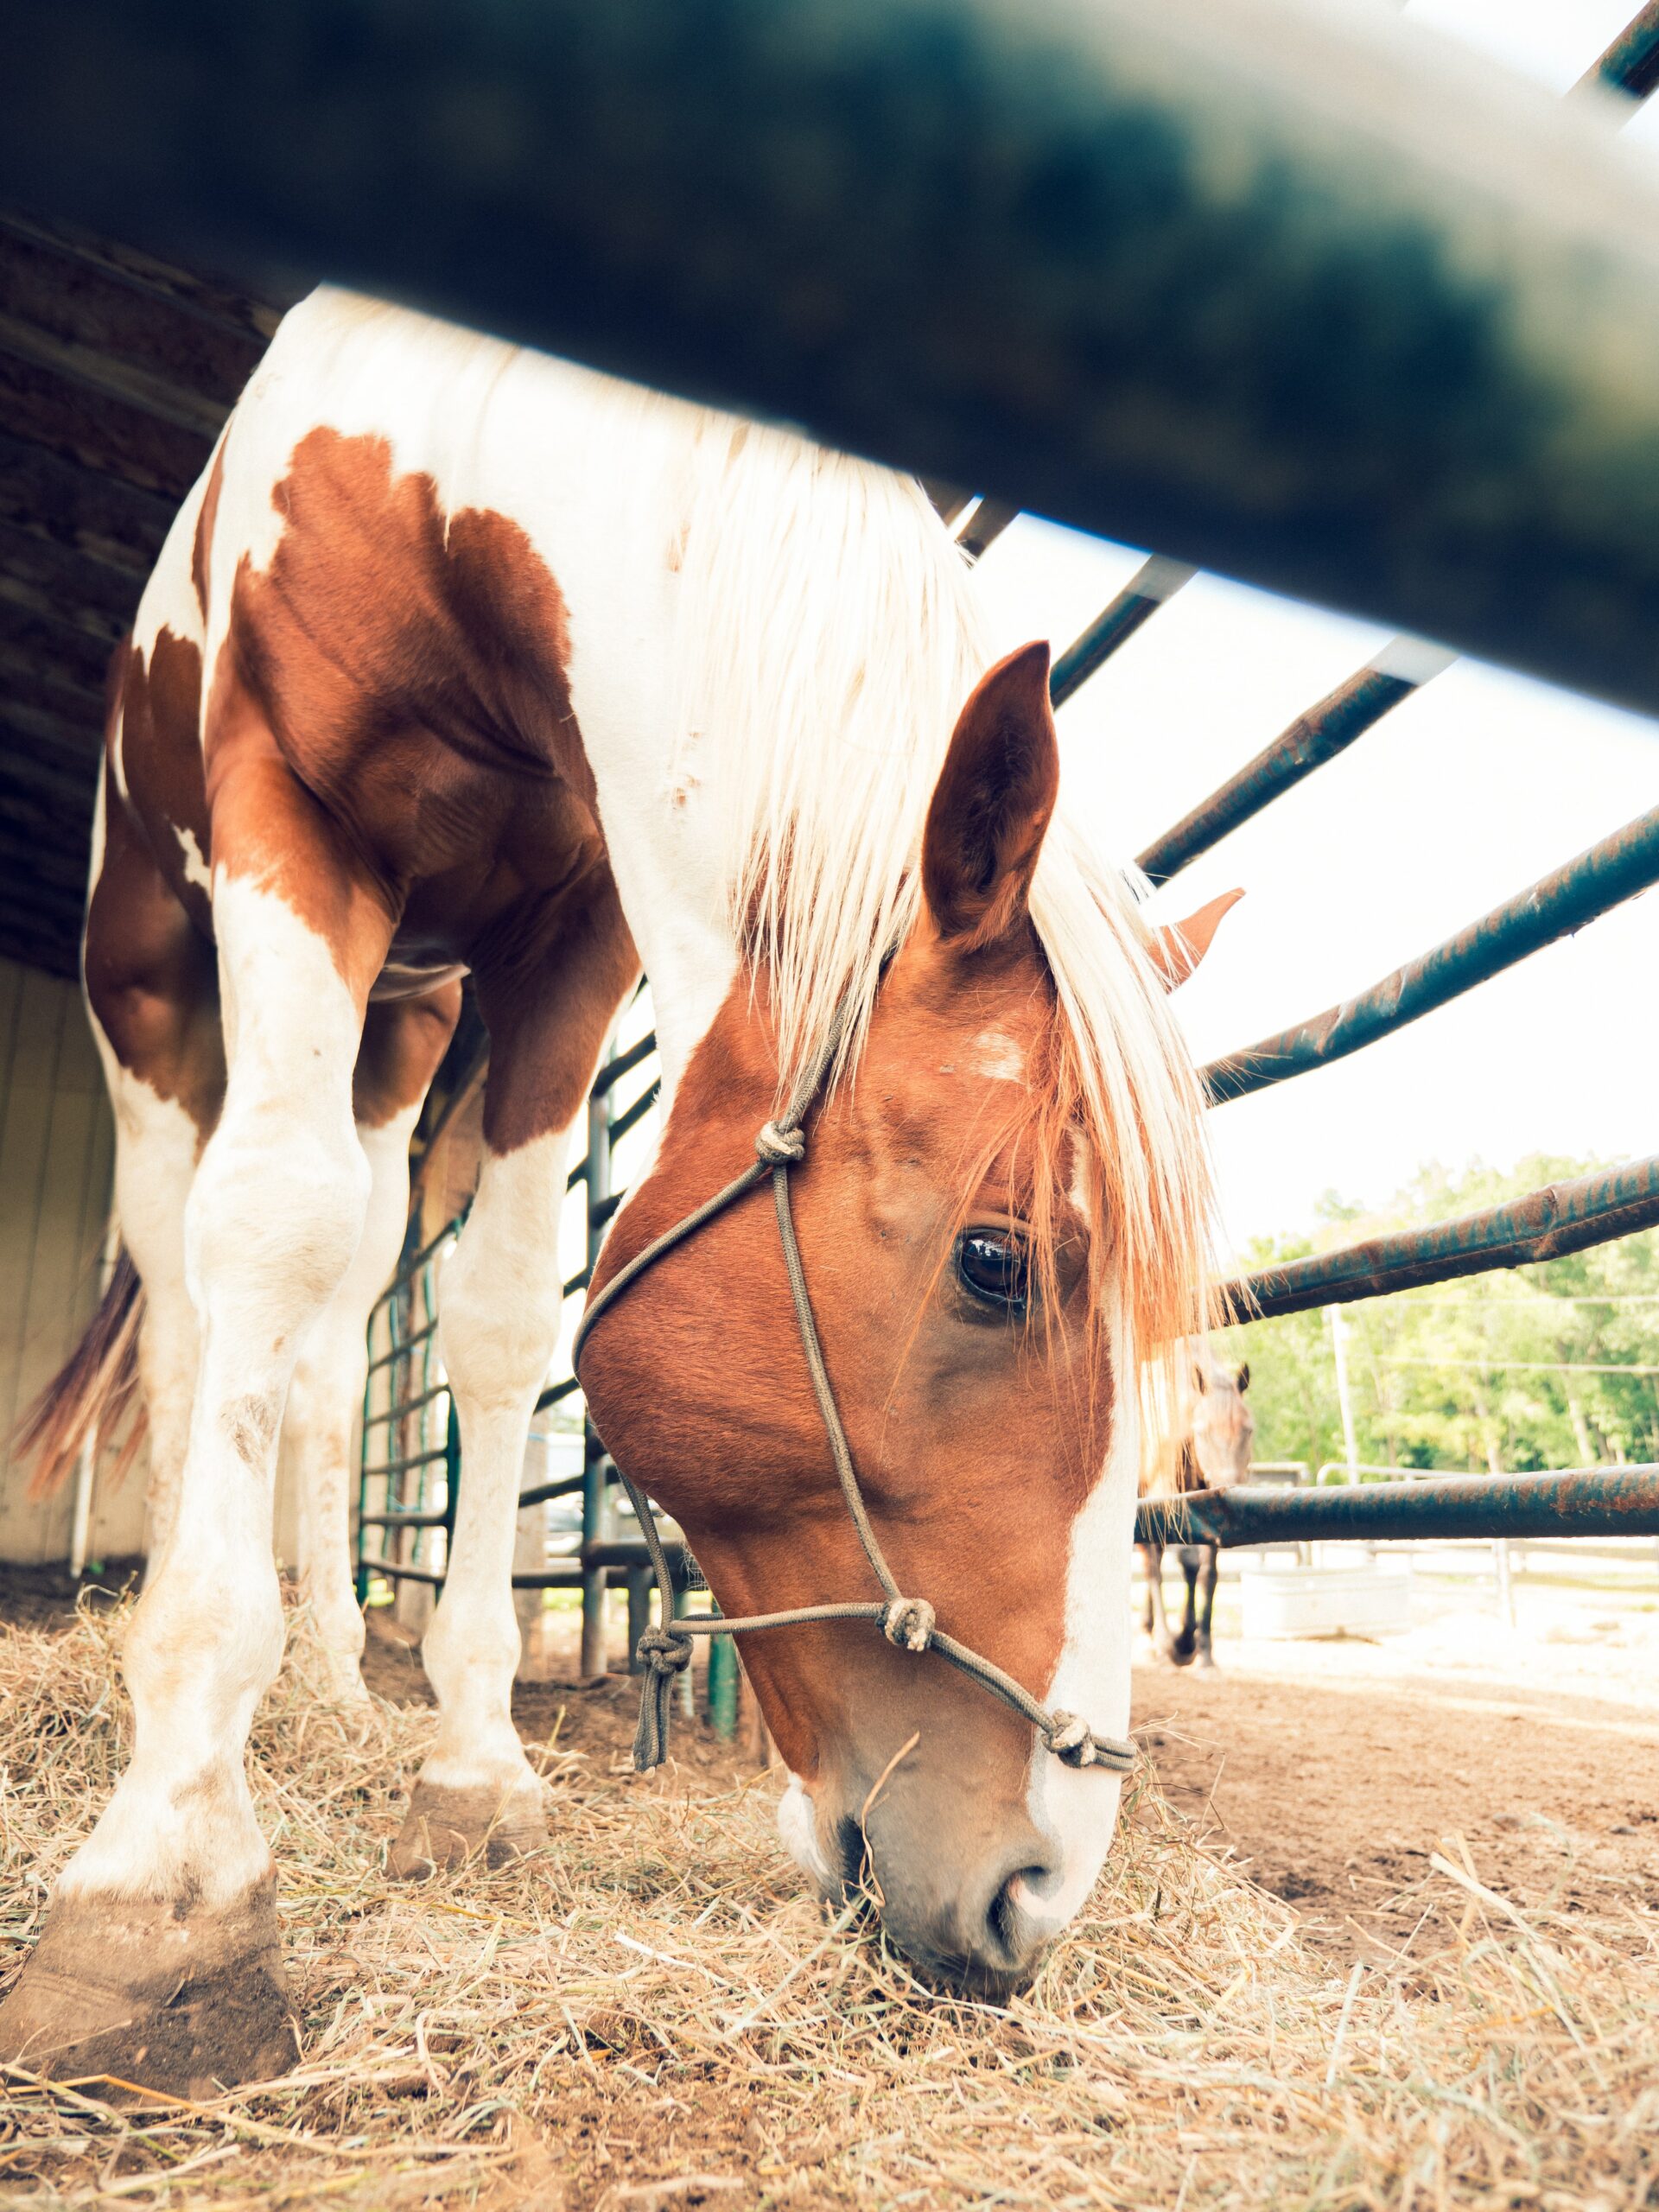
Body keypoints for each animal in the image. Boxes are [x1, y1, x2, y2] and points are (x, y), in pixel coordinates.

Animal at [0, 289, 1238, 2088]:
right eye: (997, 1263)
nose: (1038, 1892)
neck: (444, 479)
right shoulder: (286, 824)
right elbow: (260, 1238)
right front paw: (166, 1868)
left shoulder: (567, 927)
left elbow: (507, 1316)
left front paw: (470, 1769)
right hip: (154, 981)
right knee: (187, 1293)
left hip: (400, 1031)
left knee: (329, 1341)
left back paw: (331, 1675)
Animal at [1141, 1336, 1256, 1663]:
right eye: (1203, 1431)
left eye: (1247, 1430)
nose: (1228, 1486)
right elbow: (1185, 1561)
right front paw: (1179, 1642)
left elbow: (1208, 1573)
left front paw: (1202, 1648)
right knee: (1151, 1560)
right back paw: (1159, 1639)